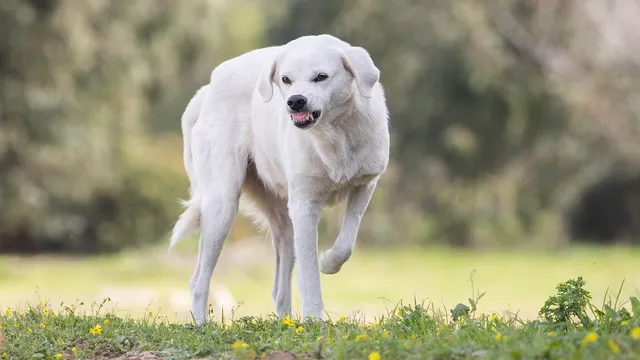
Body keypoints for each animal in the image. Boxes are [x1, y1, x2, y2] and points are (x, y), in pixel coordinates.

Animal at [170, 33, 388, 324]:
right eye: (286, 79)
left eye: (321, 76)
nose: (295, 101)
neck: (333, 135)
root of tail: (207, 88)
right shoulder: (305, 207)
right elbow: (309, 275)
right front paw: (314, 320)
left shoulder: (365, 185)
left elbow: (346, 244)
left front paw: (328, 263)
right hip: (222, 207)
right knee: (197, 281)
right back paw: (202, 325)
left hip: (284, 224)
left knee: (279, 289)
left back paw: (286, 322)